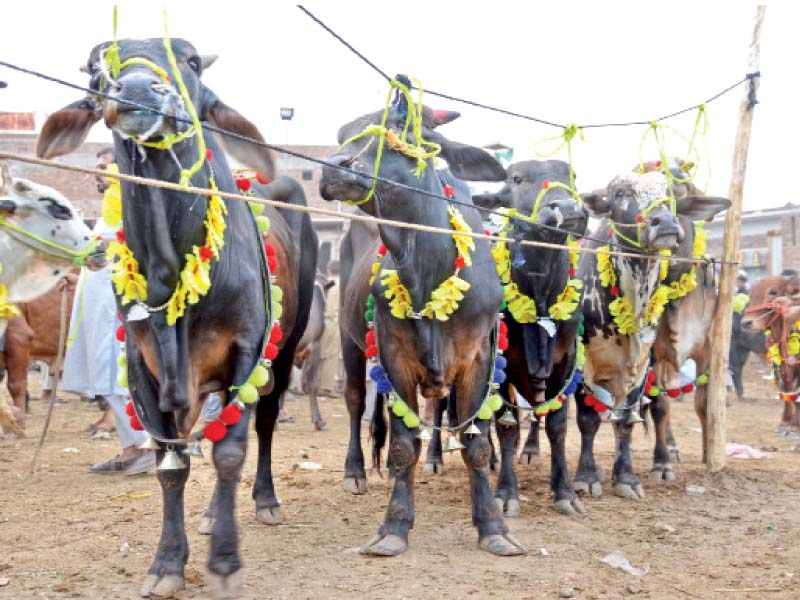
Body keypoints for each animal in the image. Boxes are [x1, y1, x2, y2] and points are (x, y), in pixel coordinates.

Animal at [36, 38, 316, 600]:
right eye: (98, 68)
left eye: (189, 61)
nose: (139, 90)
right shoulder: (143, 366)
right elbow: (172, 464)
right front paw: (167, 562)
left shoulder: (246, 351)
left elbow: (230, 452)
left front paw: (225, 563)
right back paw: (210, 513)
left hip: (283, 350)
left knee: (262, 424)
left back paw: (265, 500)